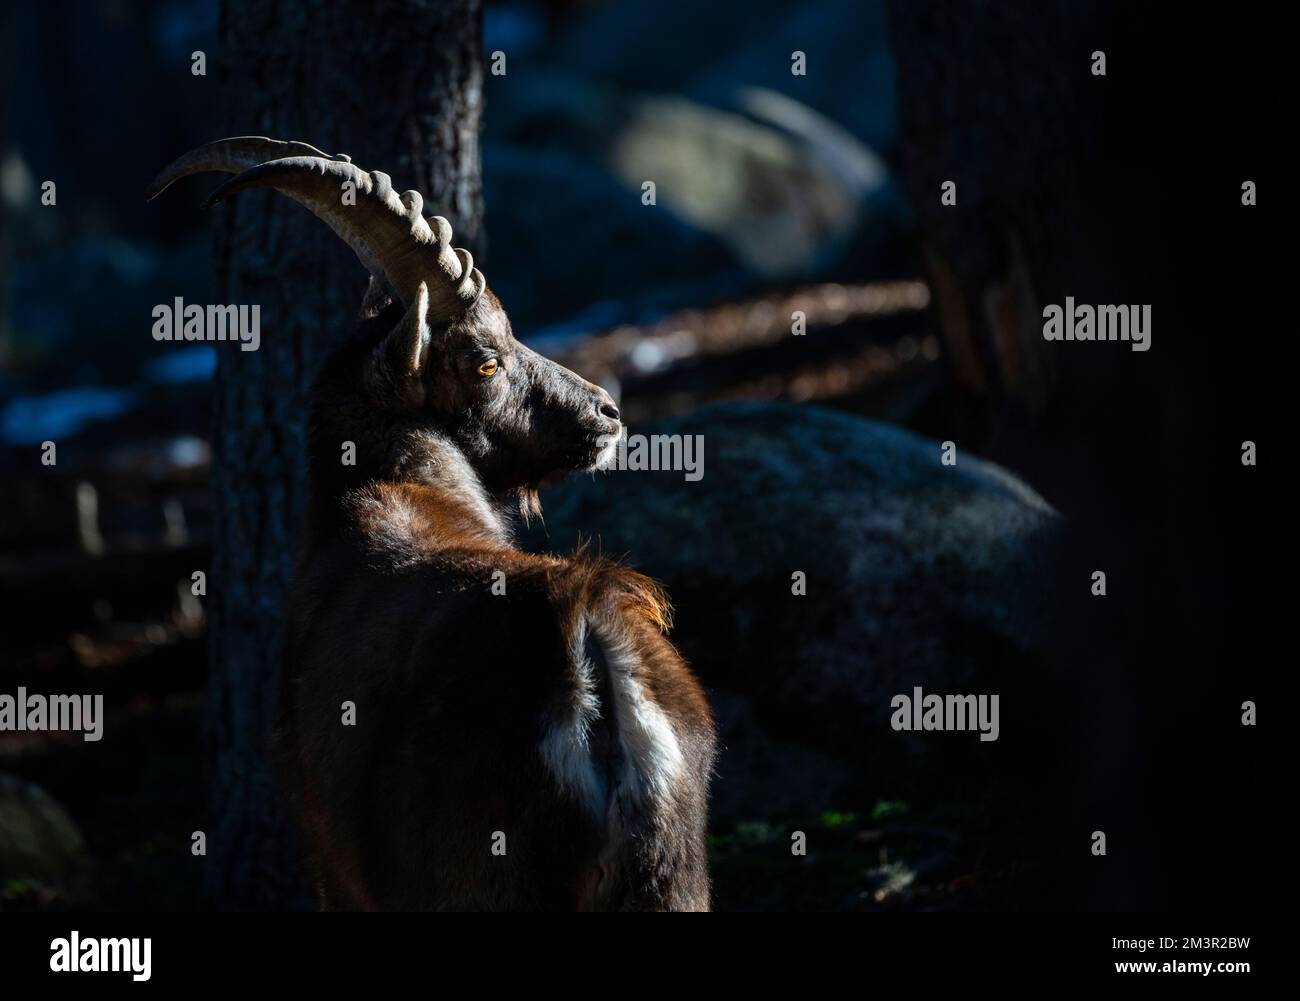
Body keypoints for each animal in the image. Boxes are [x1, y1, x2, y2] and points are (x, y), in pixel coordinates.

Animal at [149, 137, 716, 911]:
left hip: (480, 875)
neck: (397, 489)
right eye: (485, 362)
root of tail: (586, 655)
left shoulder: (338, 874)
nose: (607, 412)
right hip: (673, 879)